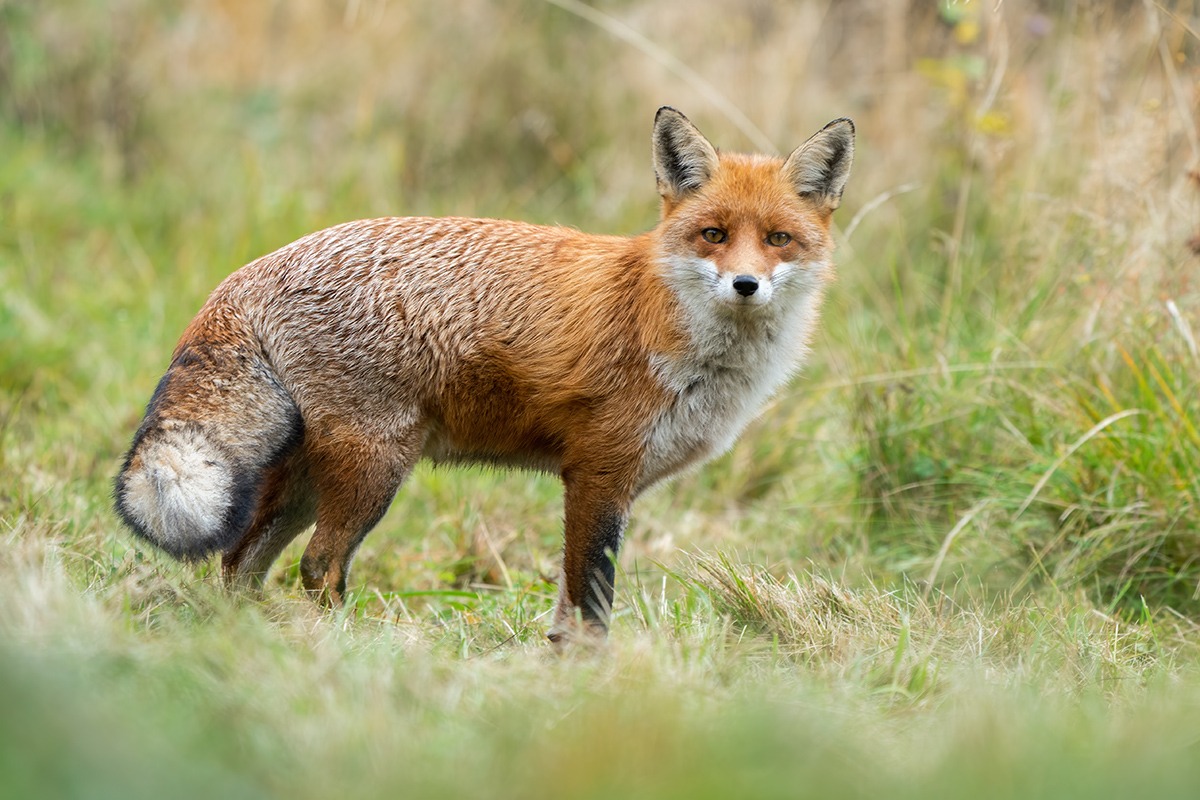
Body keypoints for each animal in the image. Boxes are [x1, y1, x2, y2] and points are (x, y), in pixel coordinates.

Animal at [114, 107, 854, 642]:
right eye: (714, 235)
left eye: (779, 239)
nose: (746, 284)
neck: (670, 330)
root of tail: (252, 270)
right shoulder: (599, 472)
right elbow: (592, 603)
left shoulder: (611, 482)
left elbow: (566, 609)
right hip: (376, 466)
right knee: (318, 566)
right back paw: (346, 652)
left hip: (305, 477)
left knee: (240, 562)